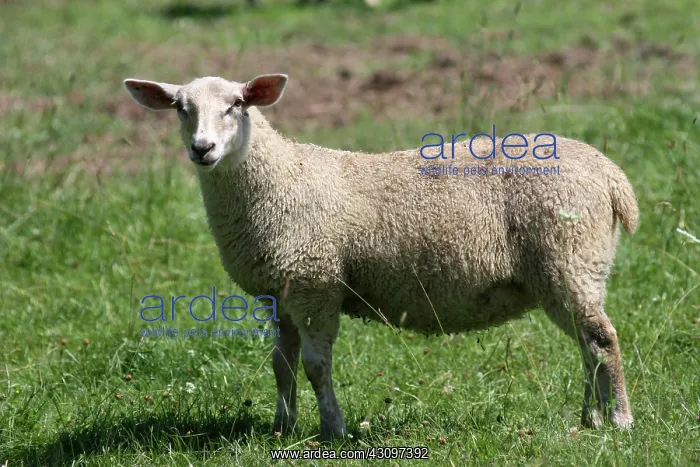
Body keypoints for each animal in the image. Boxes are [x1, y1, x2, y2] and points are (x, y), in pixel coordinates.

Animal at [123, 73, 639, 441]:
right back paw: (589, 419)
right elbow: (282, 363)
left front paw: (333, 430)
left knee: (602, 341)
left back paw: (618, 420)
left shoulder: (314, 283)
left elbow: (316, 367)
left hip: (568, 258)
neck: (280, 179)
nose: (202, 148)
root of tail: (612, 177)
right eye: (181, 109)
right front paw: (282, 427)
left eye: (236, 105)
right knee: (587, 344)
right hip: (569, 271)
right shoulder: (280, 294)